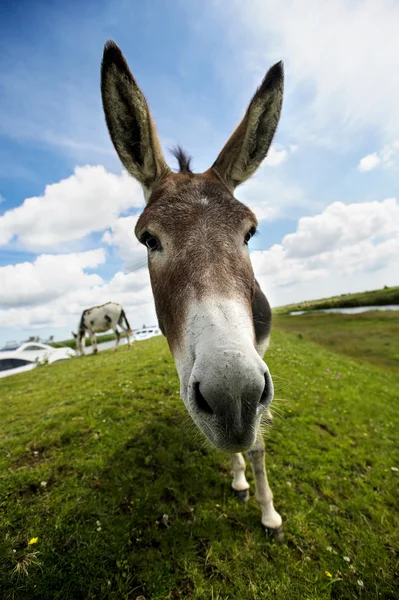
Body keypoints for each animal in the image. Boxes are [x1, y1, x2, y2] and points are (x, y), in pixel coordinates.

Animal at [101, 41, 286, 540]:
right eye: (149, 240)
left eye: (250, 233)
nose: (233, 397)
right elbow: (240, 444)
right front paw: (239, 479)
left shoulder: (256, 363)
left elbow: (257, 443)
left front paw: (268, 512)